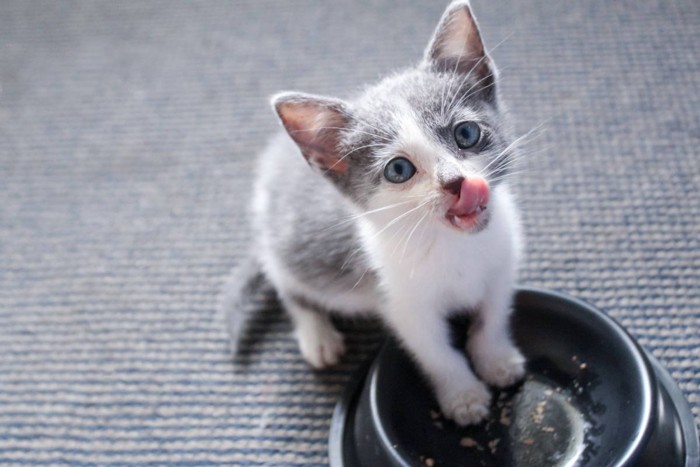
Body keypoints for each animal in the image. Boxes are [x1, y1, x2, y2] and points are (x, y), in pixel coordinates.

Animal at [224, 0, 524, 428]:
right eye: (399, 169)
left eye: (466, 134)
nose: (455, 182)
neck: (451, 244)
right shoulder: (403, 304)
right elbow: (437, 352)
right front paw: (462, 395)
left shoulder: (502, 264)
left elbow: (491, 317)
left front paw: (496, 358)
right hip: (290, 252)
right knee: (286, 283)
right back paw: (317, 335)